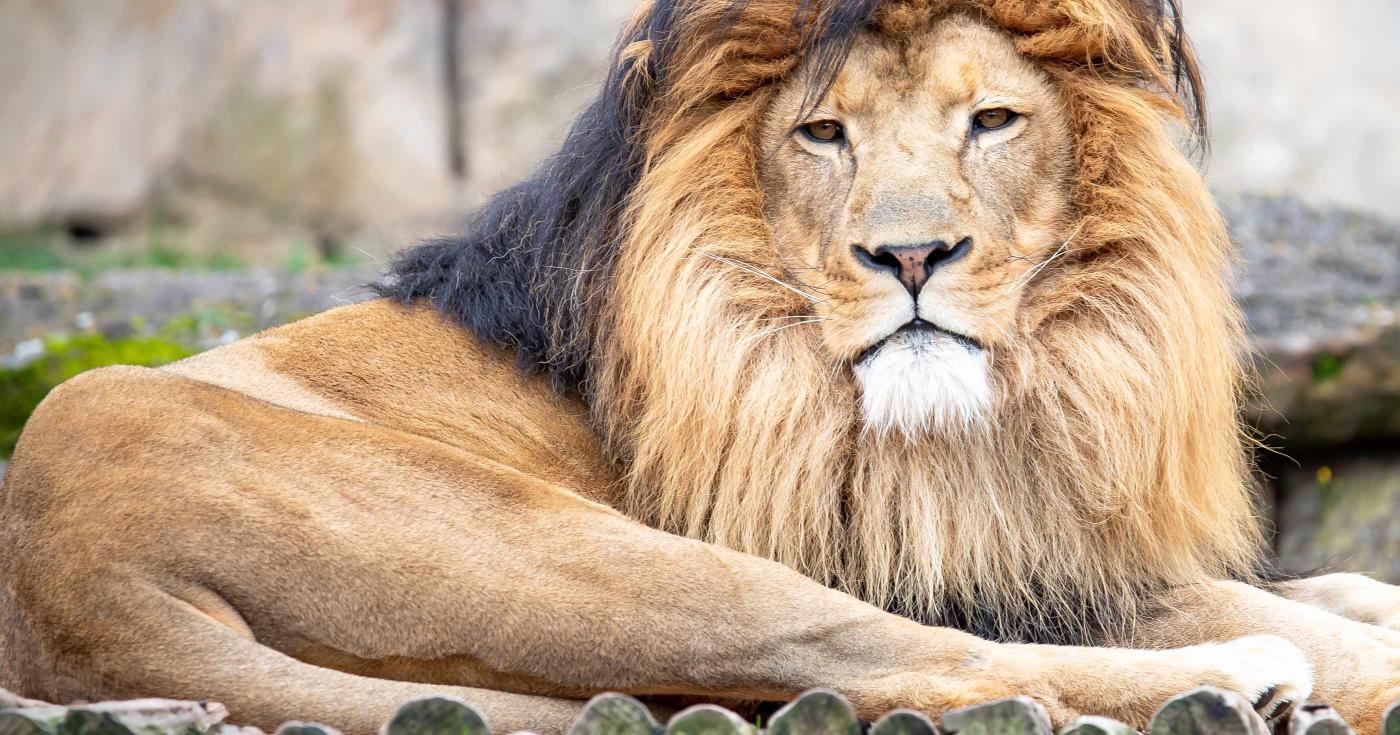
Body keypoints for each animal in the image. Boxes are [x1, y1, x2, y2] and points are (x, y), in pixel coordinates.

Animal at [2, 0, 1400, 728]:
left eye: (991, 121)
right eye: (821, 135)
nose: (909, 255)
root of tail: (70, 599)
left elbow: (1320, 584)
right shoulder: (963, 567)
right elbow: (1252, 610)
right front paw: (1312, 649)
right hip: (592, 547)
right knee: (903, 663)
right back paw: (1238, 682)